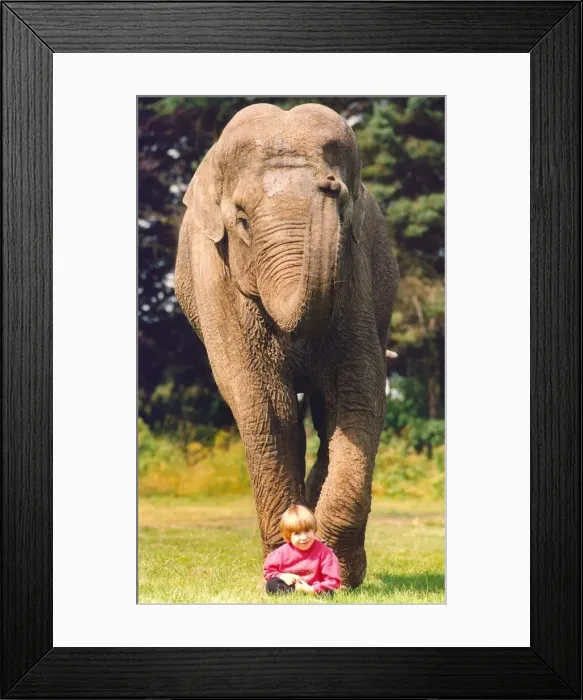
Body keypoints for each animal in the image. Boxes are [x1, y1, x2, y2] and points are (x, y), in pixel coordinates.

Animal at [175, 103, 399, 587]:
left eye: (343, 203)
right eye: (241, 218)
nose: (330, 184)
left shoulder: (354, 269)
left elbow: (356, 391)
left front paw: (341, 571)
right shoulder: (216, 277)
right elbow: (265, 403)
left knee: (326, 412)